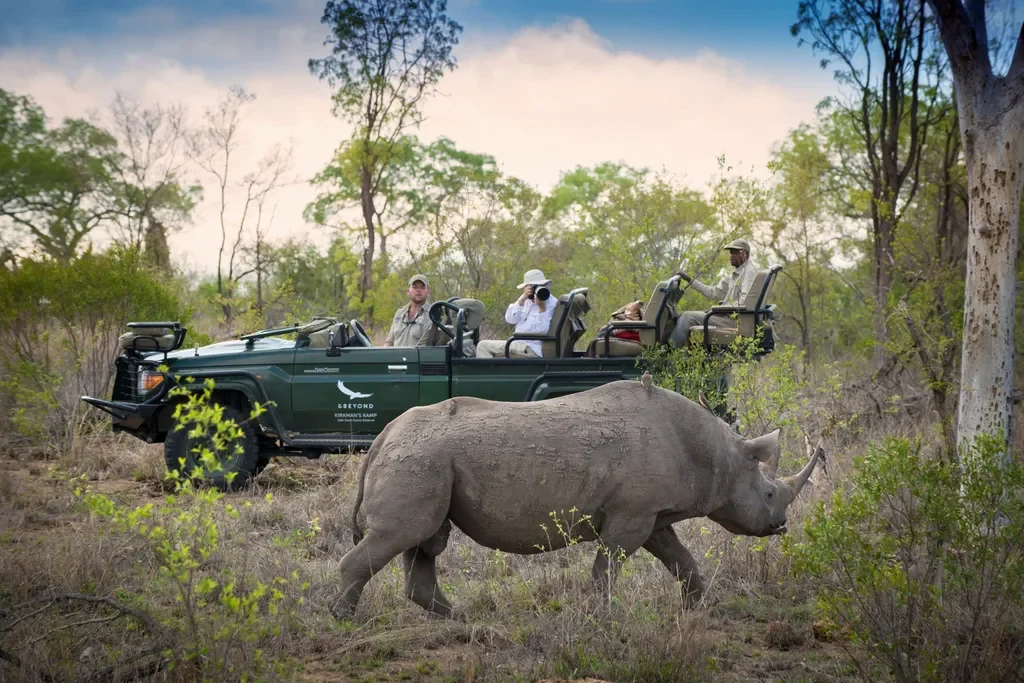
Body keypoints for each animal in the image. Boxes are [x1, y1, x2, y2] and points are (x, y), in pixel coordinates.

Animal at [334, 378, 822, 619]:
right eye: (769, 493)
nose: (780, 525)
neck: (716, 453)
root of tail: (382, 437)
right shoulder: (632, 514)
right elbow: (608, 567)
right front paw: (608, 617)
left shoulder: (651, 513)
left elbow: (681, 559)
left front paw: (698, 609)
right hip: (421, 458)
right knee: (404, 533)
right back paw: (345, 620)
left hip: (427, 459)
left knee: (425, 540)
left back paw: (461, 621)